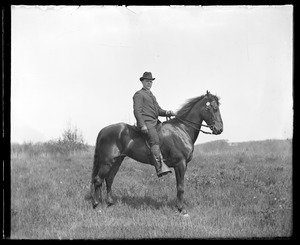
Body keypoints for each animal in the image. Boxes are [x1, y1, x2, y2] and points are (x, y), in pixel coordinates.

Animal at [91, 91, 223, 215]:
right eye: (212, 108)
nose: (219, 129)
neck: (182, 129)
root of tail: (103, 131)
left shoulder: (179, 166)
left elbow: (178, 186)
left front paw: (178, 207)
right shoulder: (181, 164)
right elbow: (181, 187)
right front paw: (181, 209)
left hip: (117, 161)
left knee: (109, 179)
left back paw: (109, 203)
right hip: (107, 162)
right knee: (98, 180)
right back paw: (96, 205)